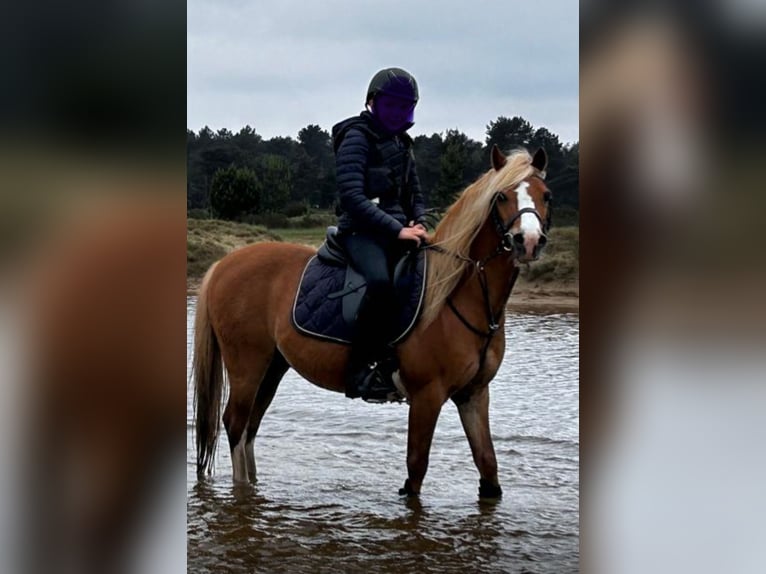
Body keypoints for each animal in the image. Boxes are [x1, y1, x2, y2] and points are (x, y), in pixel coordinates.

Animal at [192, 146, 552, 502]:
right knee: (235, 425)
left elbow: (488, 466)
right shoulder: (427, 395)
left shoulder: (474, 395)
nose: (528, 241)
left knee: (249, 429)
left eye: (545, 194)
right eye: (501, 197)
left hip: (272, 367)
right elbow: (415, 470)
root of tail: (223, 264)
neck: (456, 293)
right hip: (247, 366)